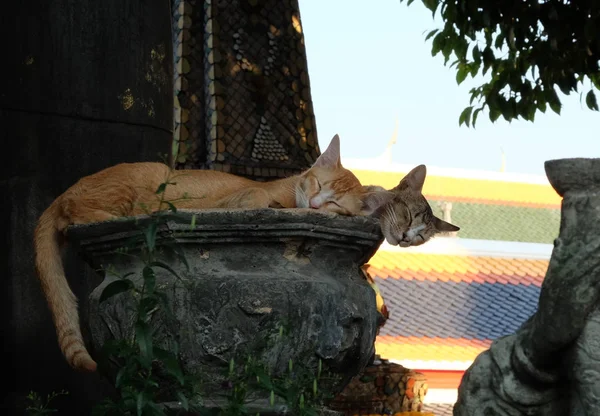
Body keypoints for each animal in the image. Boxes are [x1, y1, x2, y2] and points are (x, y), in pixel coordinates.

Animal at [36, 135, 394, 372]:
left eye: (334, 203)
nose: (317, 206)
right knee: (75, 213)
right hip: (139, 181)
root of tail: (66, 191)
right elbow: (262, 200)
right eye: (317, 185)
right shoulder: (244, 197)